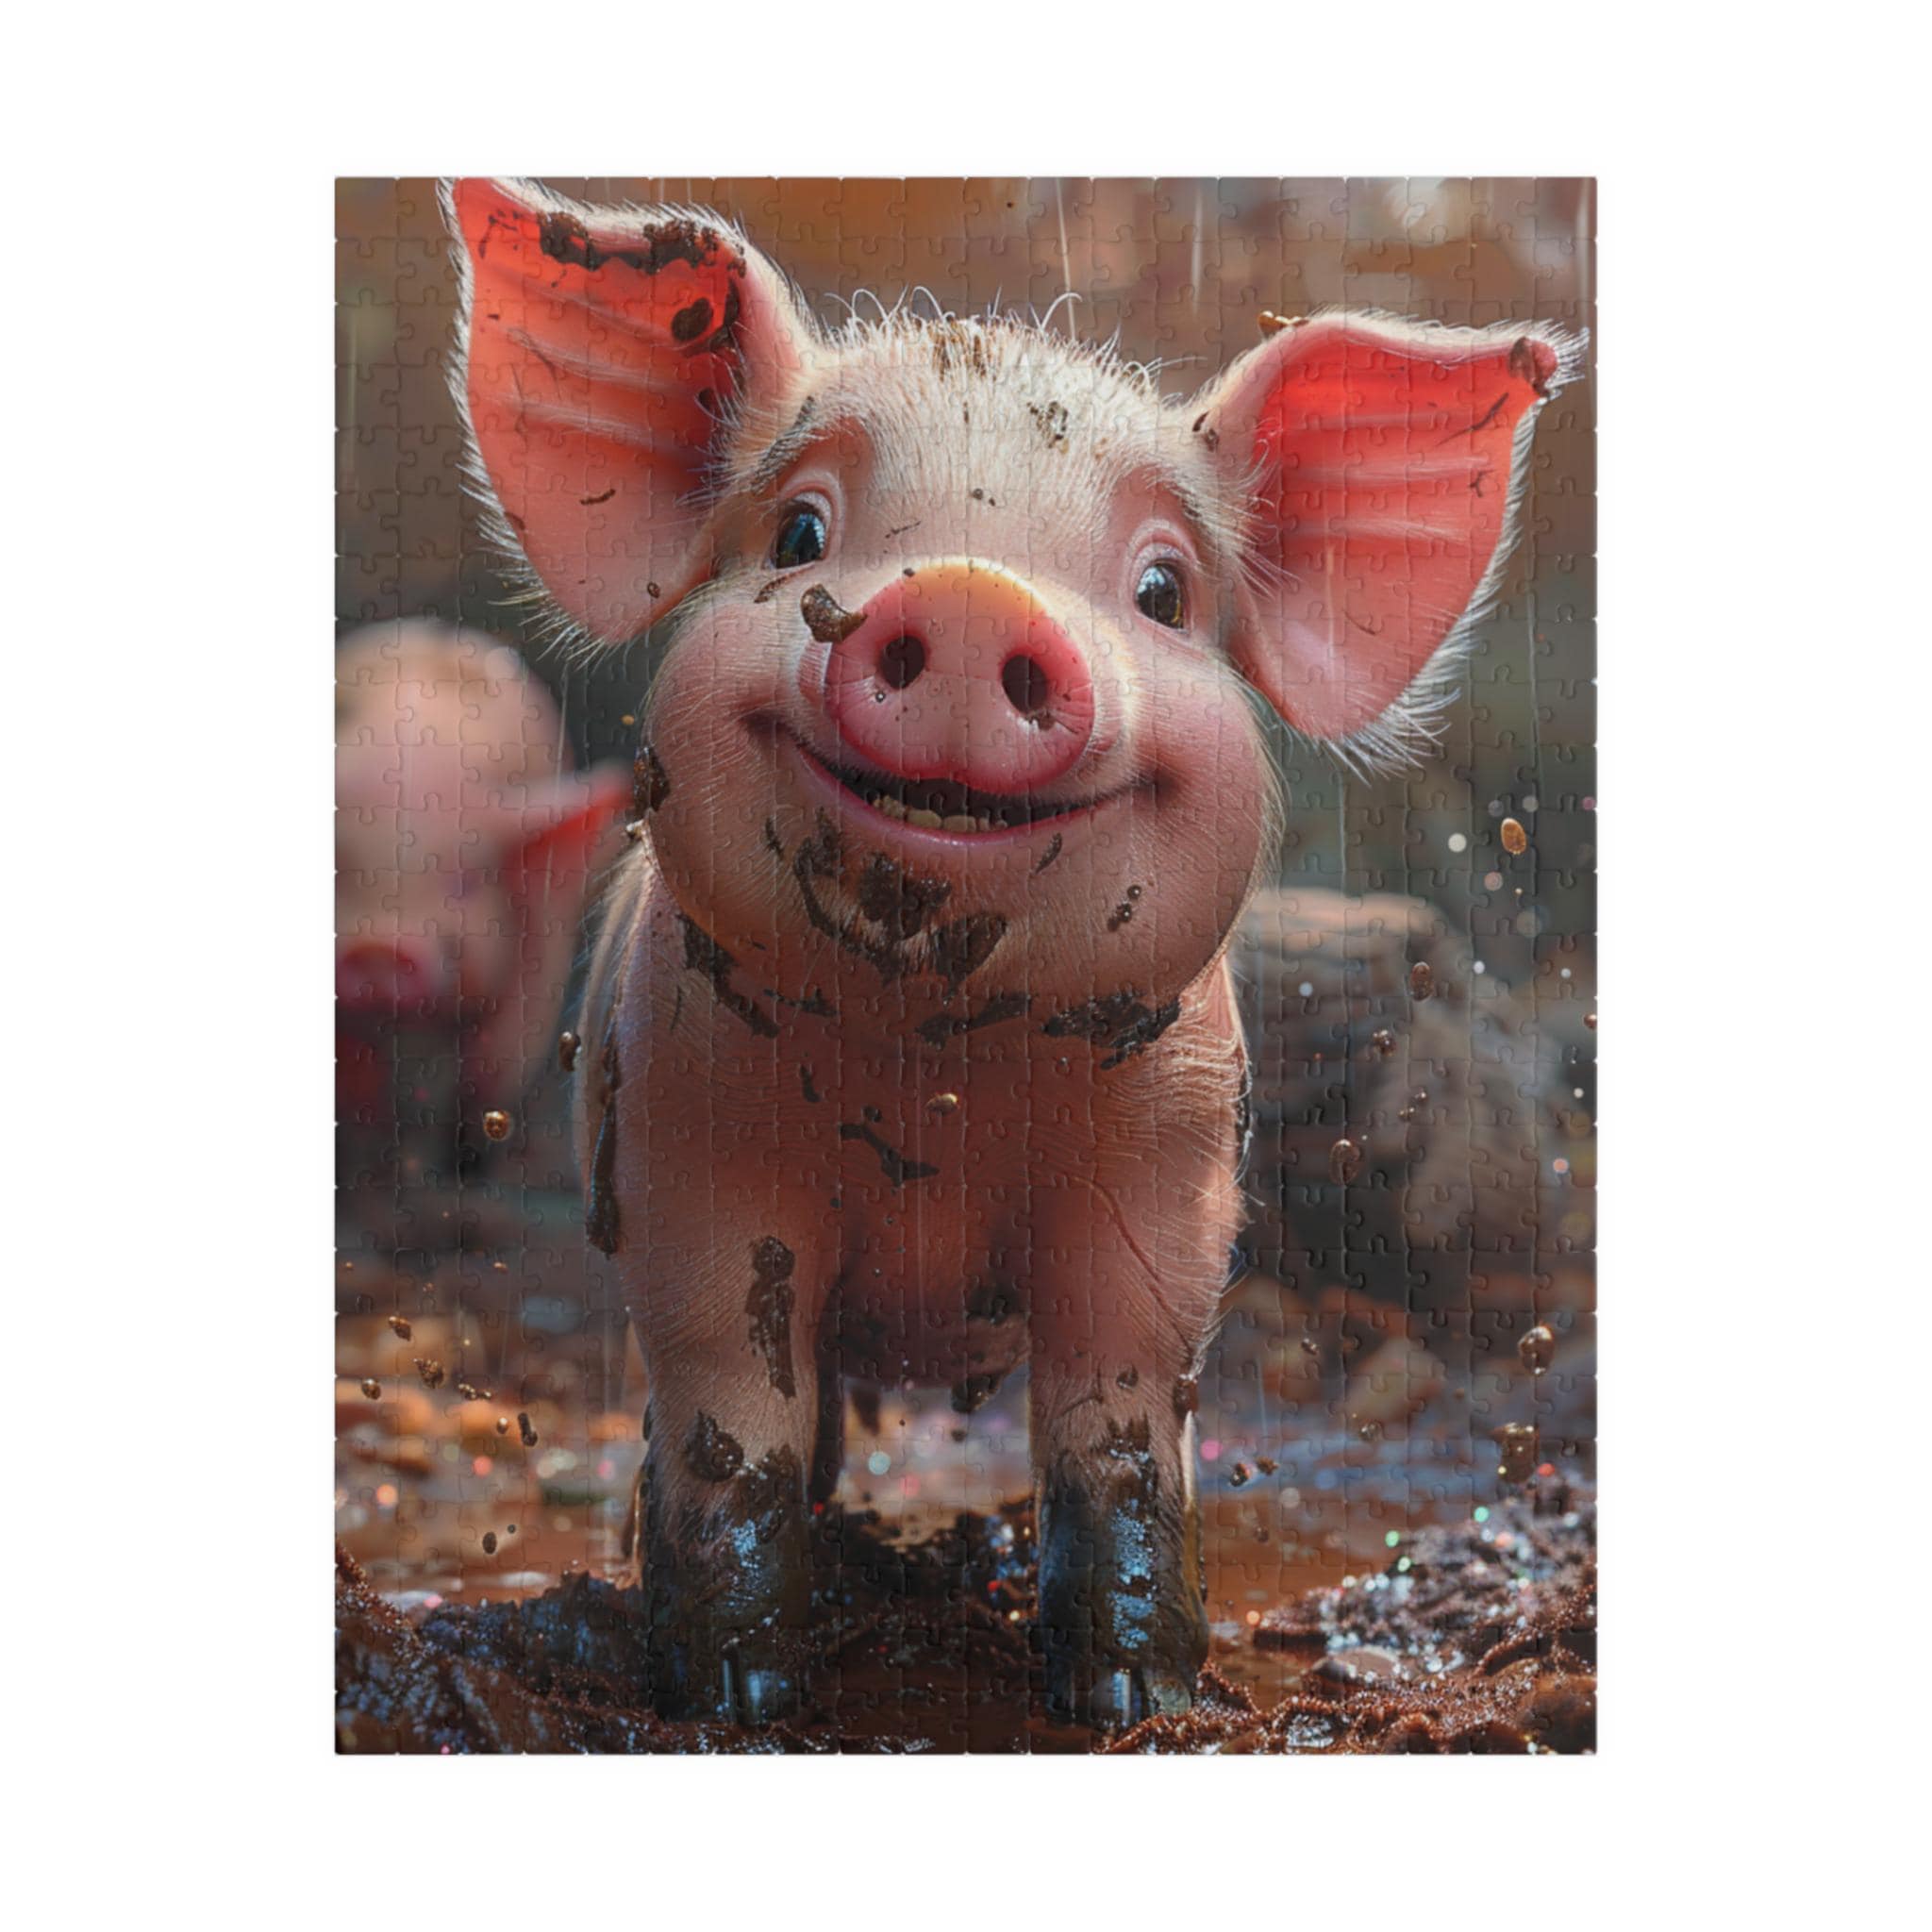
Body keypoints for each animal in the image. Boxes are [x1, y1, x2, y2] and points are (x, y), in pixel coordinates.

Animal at [443, 177, 1580, 1726]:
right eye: (798, 536)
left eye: (1162, 591)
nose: (971, 592)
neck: (933, 1076)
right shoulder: (688, 1148)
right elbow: (730, 1416)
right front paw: (738, 1702)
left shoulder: (1164, 1171)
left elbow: (1116, 1426)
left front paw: (1131, 1704)